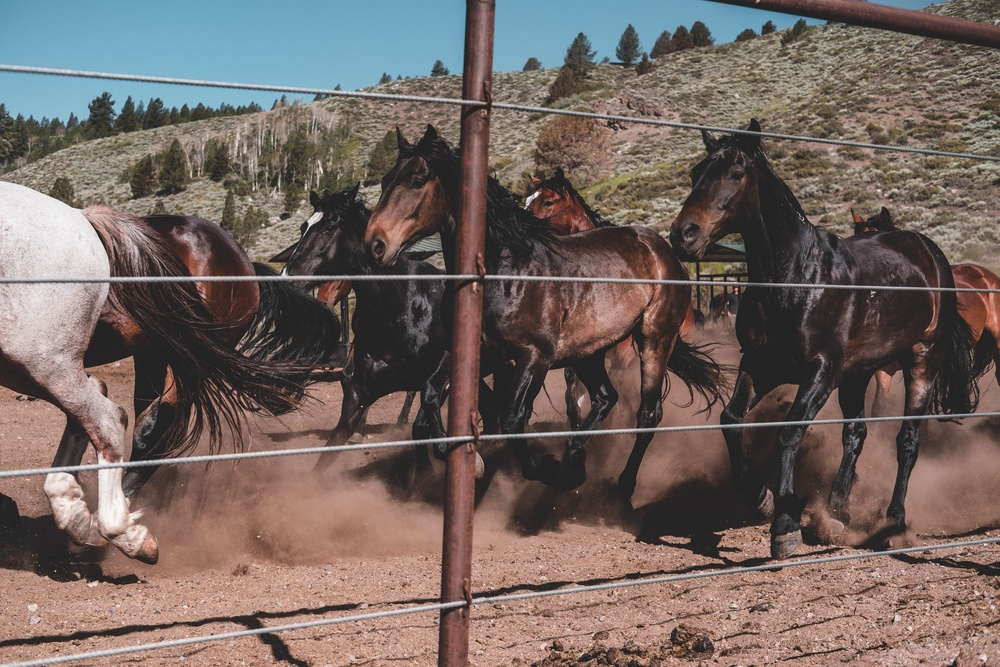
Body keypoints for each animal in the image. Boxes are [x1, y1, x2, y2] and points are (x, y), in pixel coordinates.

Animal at [364, 126, 724, 500]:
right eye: (386, 180)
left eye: (417, 181)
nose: (374, 244)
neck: (503, 271)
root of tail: (662, 250)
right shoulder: (474, 351)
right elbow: (432, 396)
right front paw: (466, 458)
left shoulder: (534, 358)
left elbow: (513, 419)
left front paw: (547, 469)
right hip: (588, 353)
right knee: (604, 398)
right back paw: (576, 459)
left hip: (654, 340)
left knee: (647, 413)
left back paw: (621, 484)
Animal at [668, 120, 980, 560]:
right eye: (696, 173)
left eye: (735, 174)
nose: (684, 234)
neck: (795, 278)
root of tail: (930, 253)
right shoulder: (761, 365)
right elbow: (730, 420)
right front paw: (762, 498)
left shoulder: (820, 373)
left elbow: (788, 433)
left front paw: (784, 528)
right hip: (858, 373)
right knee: (856, 434)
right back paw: (835, 511)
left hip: (922, 362)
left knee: (907, 440)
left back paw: (893, 520)